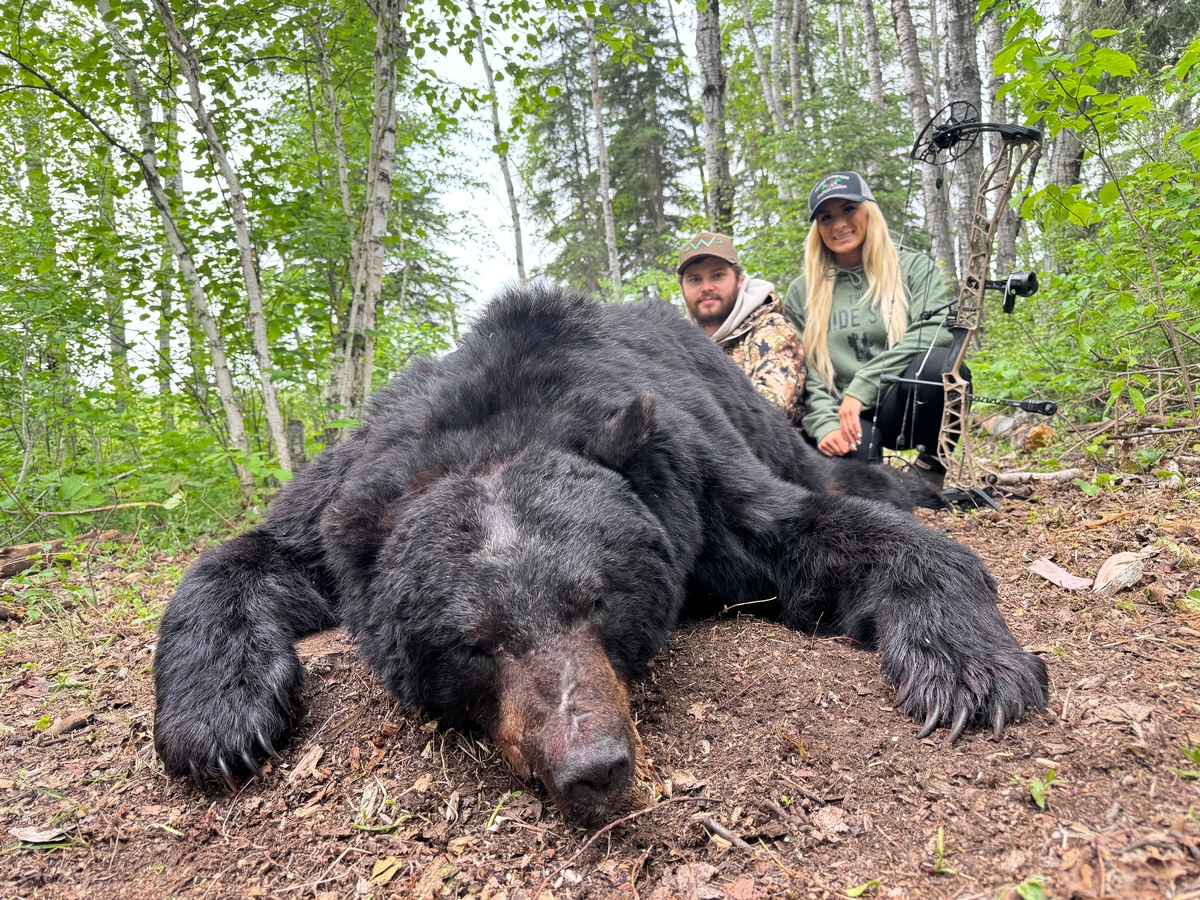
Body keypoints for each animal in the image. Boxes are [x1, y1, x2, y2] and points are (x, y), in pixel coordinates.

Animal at [152, 285, 1048, 823]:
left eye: (598, 599)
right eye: (473, 644)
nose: (592, 767)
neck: (495, 420)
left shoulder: (692, 483)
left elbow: (822, 530)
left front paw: (970, 671)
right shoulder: (349, 497)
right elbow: (246, 556)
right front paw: (217, 718)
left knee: (845, 473)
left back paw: (967, 489)